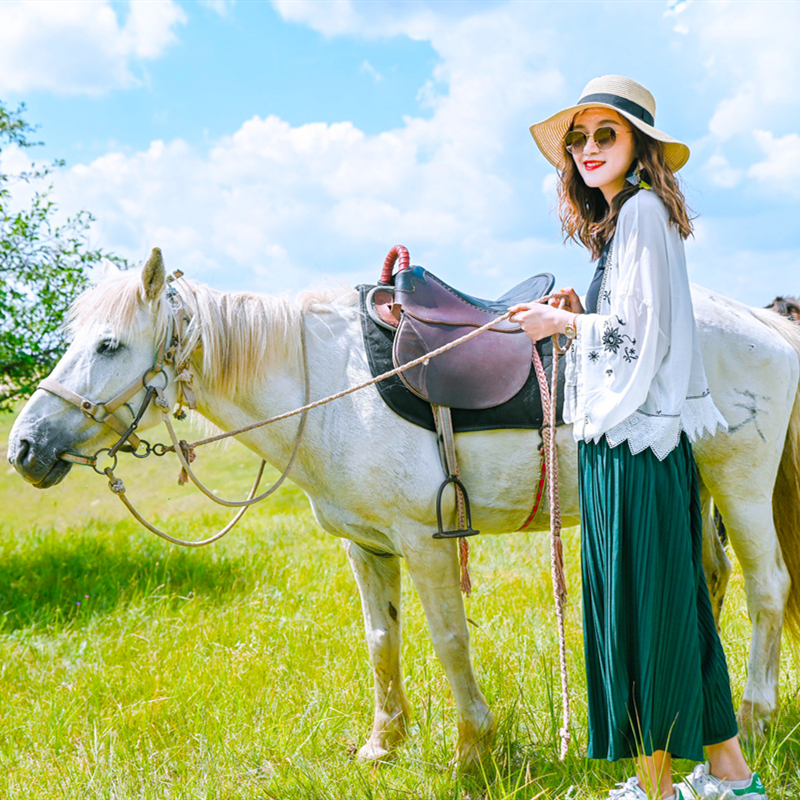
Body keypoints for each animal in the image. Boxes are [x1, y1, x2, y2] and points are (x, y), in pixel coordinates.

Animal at [7, 255, 800, 764]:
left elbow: (450, 641)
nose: (23, 446)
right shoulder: (367, 546)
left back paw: (755, 721)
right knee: (708, 579)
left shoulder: (425, 540)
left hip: (739, 481)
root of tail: (763, 322)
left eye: (110, 345)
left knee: (766, 589)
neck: (325, 383)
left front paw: (473, 751)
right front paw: (384, 743)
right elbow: (381, 640)